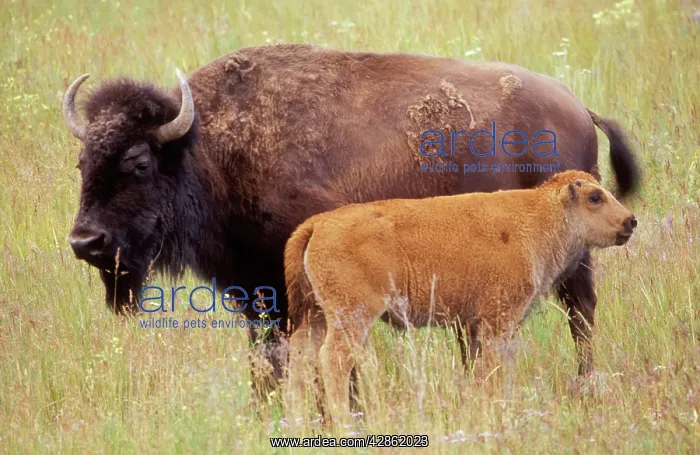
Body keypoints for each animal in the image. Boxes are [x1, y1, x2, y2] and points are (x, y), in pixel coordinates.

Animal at [62, 44, 639, 381]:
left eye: (139, 163)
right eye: (82, 162)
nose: (85, 242)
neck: (209, 146)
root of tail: (576, 106)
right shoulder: (257, 291)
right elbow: (267, 357)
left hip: (577, 251)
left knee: (581, 311)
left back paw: (584, 385)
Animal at [284, 170, 637, 421]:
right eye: (595, 197)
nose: (630, 221)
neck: (539, 218)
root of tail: (318, 224)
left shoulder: (476, 325)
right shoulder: (497, 322)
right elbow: (492, 369)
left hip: (316, 316)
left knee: (301, 357)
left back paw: (297, 420)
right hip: (351, 318)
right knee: (333, 360)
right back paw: (343, 422)